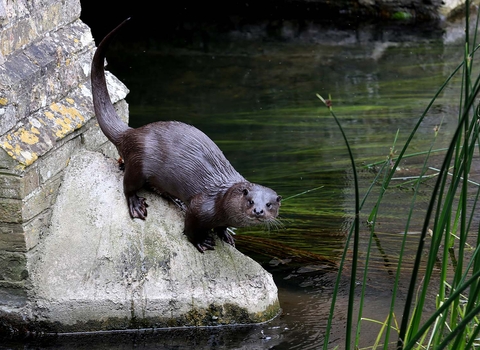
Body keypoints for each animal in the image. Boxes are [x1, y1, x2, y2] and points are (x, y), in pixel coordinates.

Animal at [90, 18, 282, 252]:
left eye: (269, 204)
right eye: (251, 201)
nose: (258, 211)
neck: (221, 199)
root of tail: (131, 133)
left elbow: (222, 227)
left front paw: (226, 234)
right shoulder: (201, 207)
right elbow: (190, 227)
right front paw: (202, 241)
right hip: (139, 162)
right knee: (128, 185)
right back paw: (136, 204)